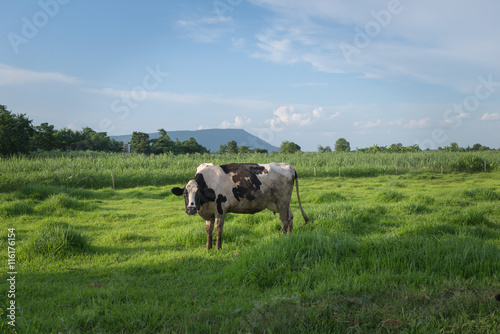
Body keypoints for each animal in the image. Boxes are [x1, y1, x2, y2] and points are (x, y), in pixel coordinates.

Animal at [173, 163, 312, 249]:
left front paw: (218, 248)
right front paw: (208, 247)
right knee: (290, 217)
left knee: (284, 221)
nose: (191, 209)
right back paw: (289, 236)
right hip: (280, 203)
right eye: (185, 194)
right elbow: (208, 230)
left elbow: (218, 229)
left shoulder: (220, 209)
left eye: (198, 194)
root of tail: (288, 166)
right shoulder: (209, 212)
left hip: (282, 201)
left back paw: (283, 238)